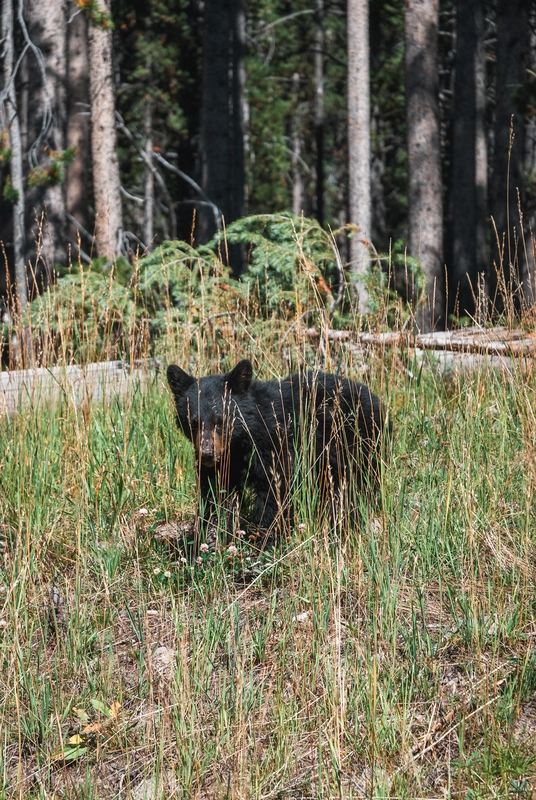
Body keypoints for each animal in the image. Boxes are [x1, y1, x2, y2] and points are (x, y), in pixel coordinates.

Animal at [166, 360, 386, 544]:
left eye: (220, 420)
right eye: (194, 422)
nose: (207, 454)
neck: (243, 439)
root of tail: (375, 398)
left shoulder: (275, 445)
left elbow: (274, 490)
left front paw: (266, 540)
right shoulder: (225, 462)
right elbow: (214, 494)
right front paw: (208, 537)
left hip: (354, 443)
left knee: (356, 486)